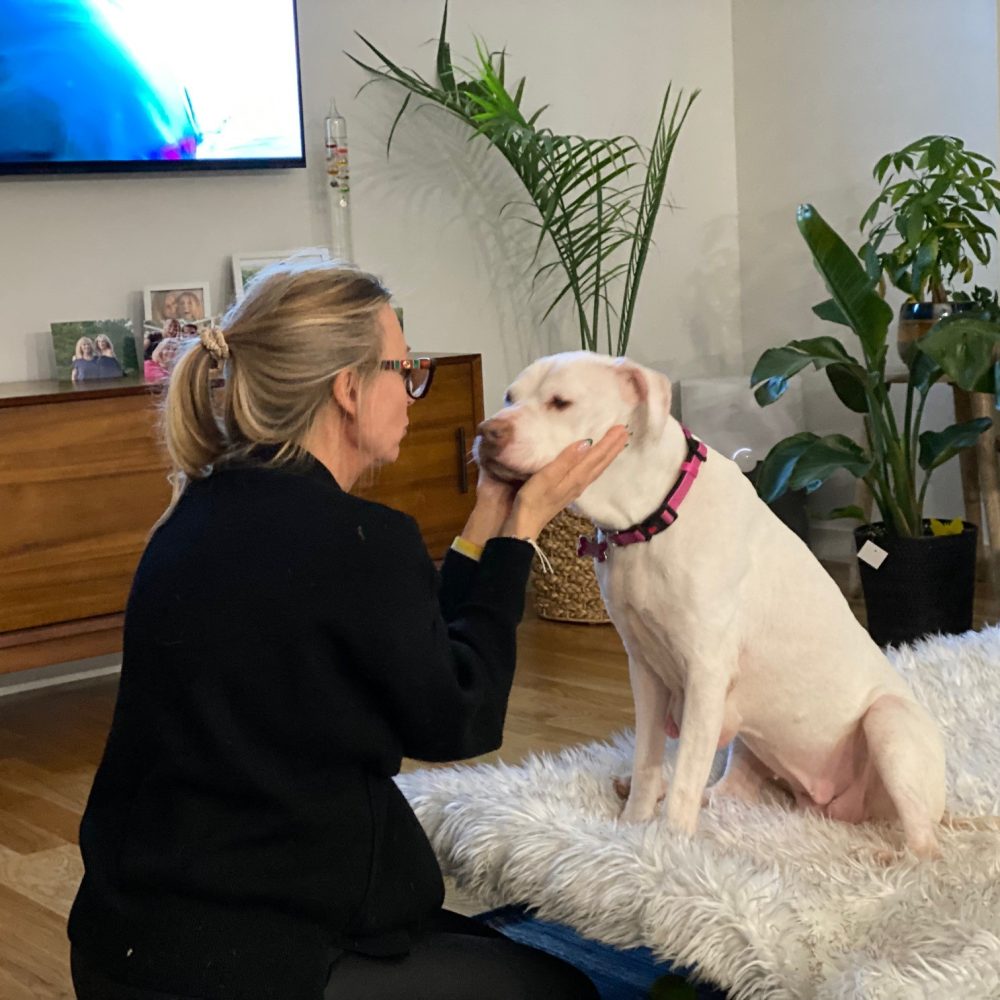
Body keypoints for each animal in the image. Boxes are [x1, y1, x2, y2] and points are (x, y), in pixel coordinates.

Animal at [476, 348, 944, 856]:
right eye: (509, 397)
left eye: (561, 402)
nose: (487, 432)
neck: (648, 518)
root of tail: (830, 806)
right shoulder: (645, 670)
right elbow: (648, 759)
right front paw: (632, 828)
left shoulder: (705, 673)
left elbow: (685, 773)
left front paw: (668, 848)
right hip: (751, 743)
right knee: (724, 791)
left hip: (888, 724)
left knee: (923, 843)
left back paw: (885, 856)